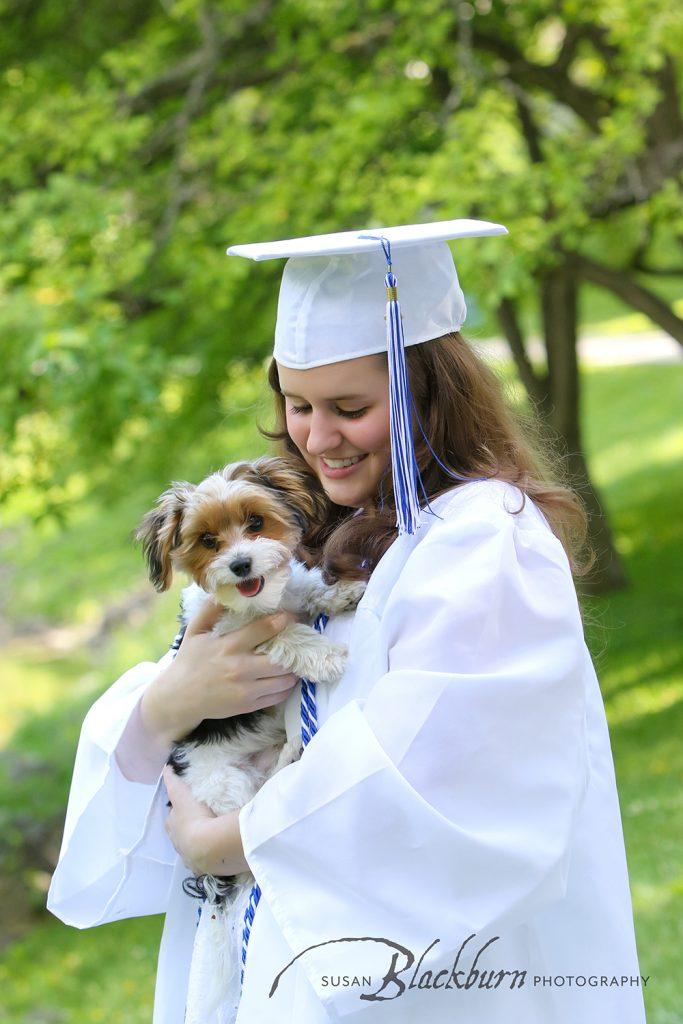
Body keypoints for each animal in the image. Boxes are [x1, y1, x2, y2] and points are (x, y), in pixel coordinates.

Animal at [135, 460, 366, 1019]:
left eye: (256, 522)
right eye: (207, 541)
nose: (240, 565)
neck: (261, 602)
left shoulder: (290, 593)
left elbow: (306, 591)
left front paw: (341, 591)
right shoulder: (231, 638)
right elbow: (279, 634)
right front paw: (321, 653)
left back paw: (291, 747)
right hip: (223, 783)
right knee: (250, 807)